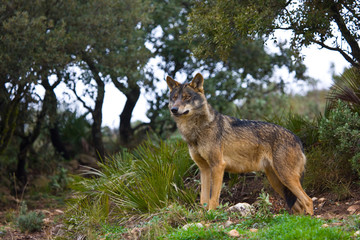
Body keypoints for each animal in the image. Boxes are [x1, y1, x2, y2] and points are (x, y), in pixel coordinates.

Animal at [165, 72, 312, 214]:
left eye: (187, 97)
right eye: (174, 98)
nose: (174, 109)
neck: (197, 130)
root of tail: (298, 139)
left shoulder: (218, 166)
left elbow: (213, 198)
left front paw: (211, 214)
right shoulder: (204, 169)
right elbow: (203, 198)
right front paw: (202, 215)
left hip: (286, 178)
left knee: (308, 201)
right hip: (277, 182)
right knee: (299, 206)